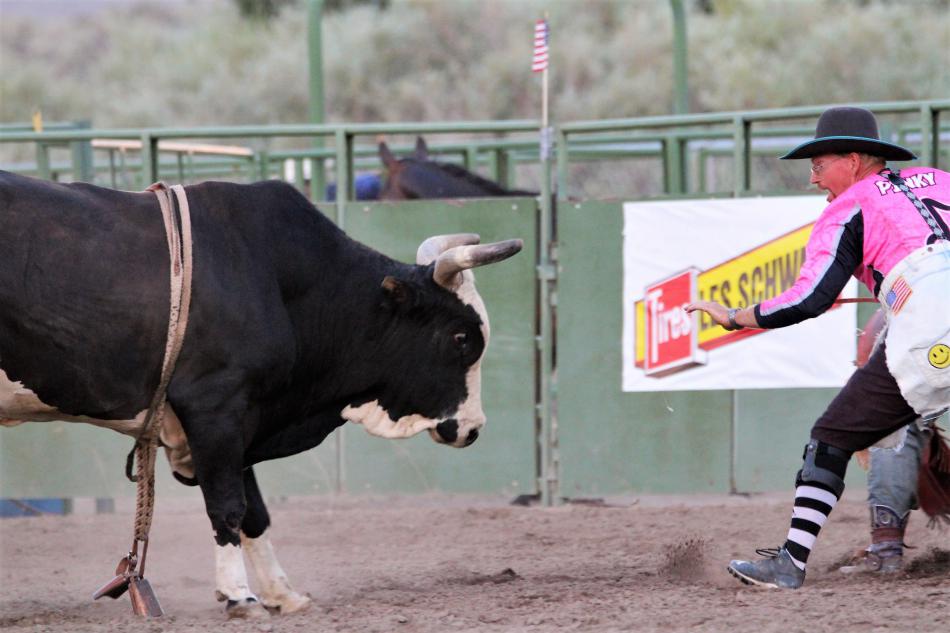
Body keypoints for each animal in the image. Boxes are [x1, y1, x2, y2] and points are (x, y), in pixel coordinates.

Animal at [0, 170, 522, 618]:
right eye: (461, 338)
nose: (473, 429)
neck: (277, 278)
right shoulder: (216, 409)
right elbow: (228, 505)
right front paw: (239, 595)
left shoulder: (241, 420)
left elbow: (255, 513)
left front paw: (281, 593)